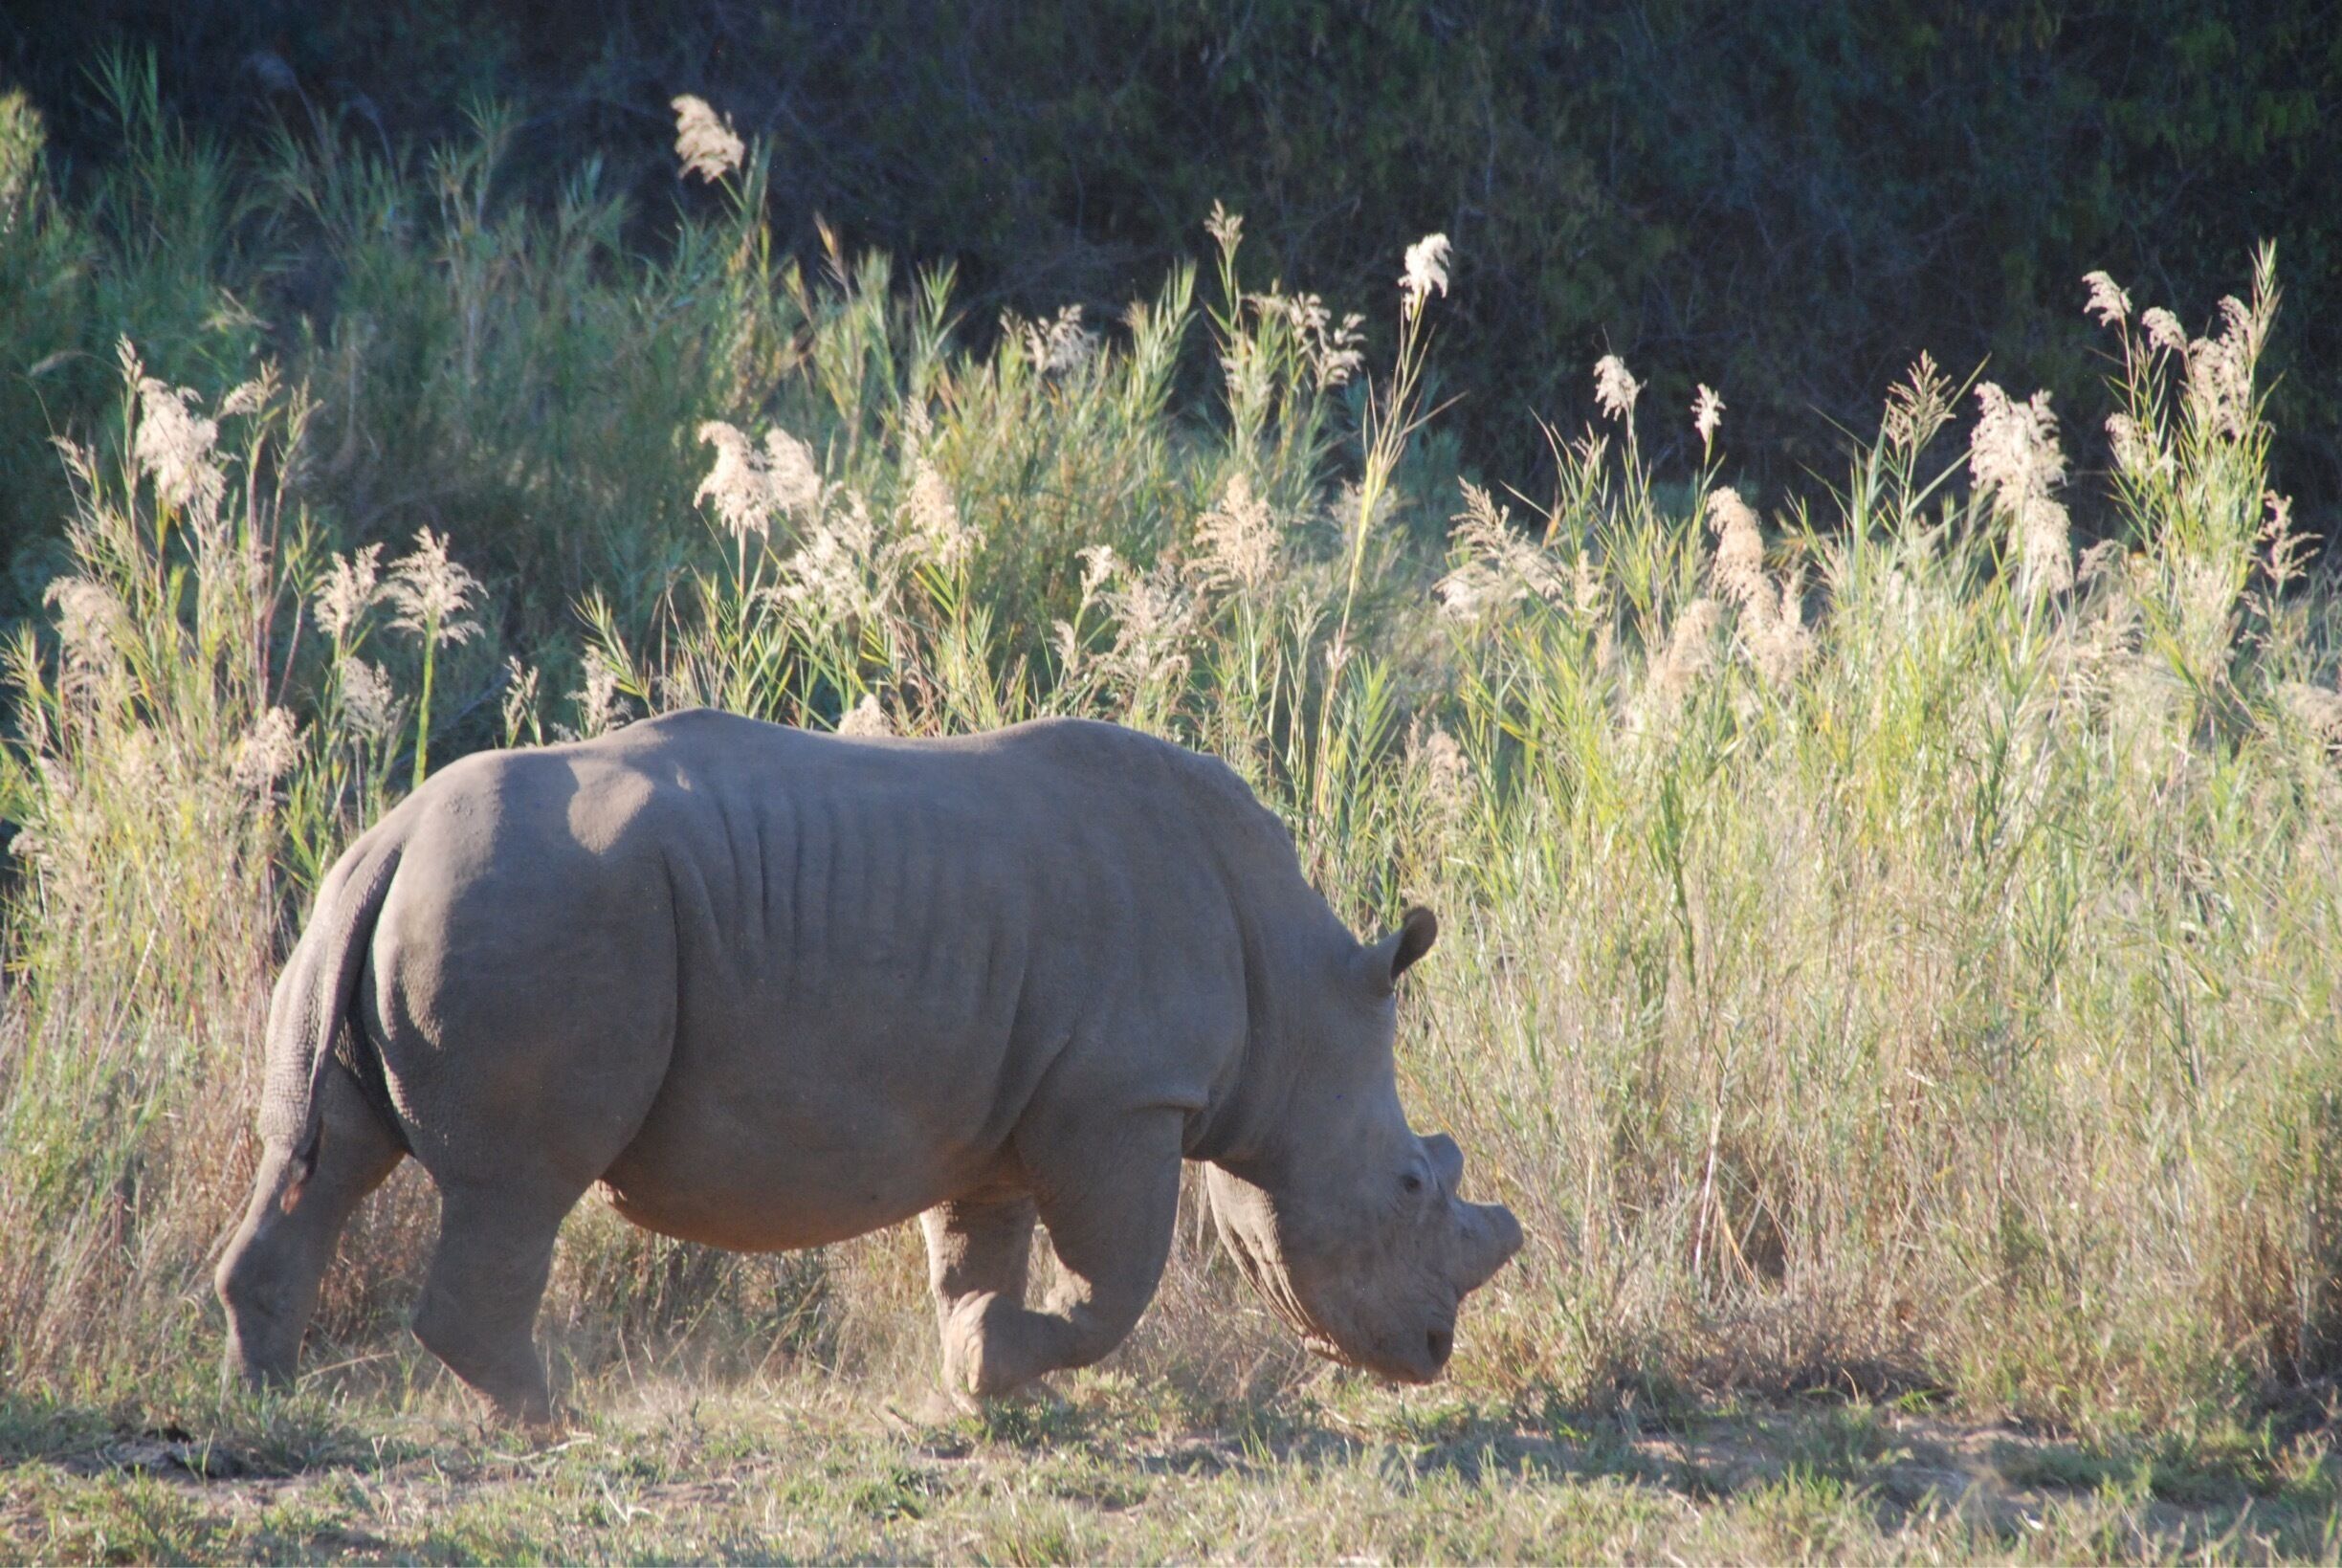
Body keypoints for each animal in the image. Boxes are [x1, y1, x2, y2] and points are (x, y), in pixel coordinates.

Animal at [216, 709, 1523, 1423]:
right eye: (1414, 1184)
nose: (1432, 1357)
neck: (1292, 1005)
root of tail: (389, 837)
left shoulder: (1009, 1105)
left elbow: (975, 1252)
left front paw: (980, 1370)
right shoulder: (1121, 1097)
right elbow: (1118, 1281)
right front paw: (1004, 1364)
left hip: (392, 903)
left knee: (324, 1154)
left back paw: (268, 1400)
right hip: (533, 910)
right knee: (518, 1186)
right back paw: (550, 1421)